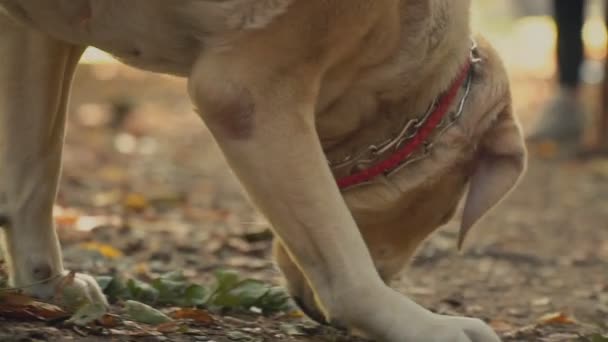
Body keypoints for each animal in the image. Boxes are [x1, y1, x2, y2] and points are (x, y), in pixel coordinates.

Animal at [0, 0, 524, 342]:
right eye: (440, 217)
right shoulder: (249, 93)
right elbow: (346, 267)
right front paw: (424, 325)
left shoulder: (38, 31)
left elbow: (33, 173)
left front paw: (46, 283)